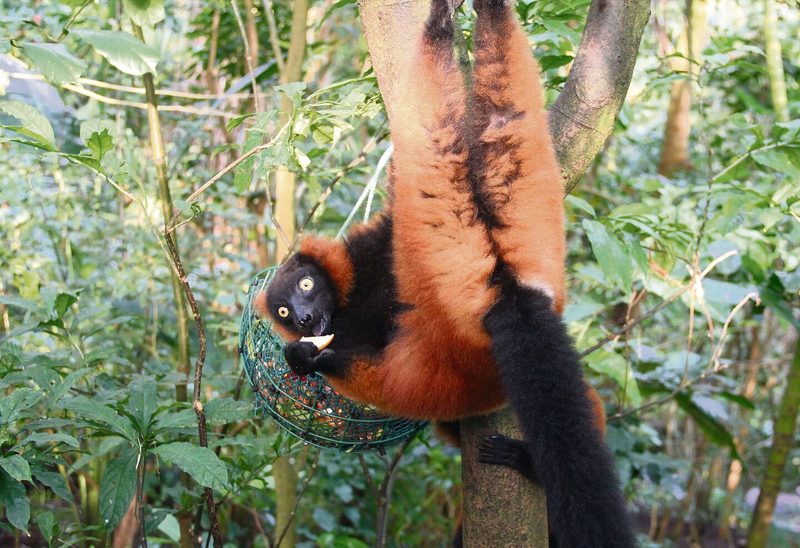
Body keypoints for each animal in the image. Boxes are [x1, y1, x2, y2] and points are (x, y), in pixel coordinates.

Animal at [256, 0, 635, 545]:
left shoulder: (376, 245)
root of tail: (502, 289)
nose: (306, 320)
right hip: (514, 247)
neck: (353, 297)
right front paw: (300, 355)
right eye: (284, 310)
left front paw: (307, 357)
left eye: (306, 285)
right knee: (497, 129)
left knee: (427, 148)